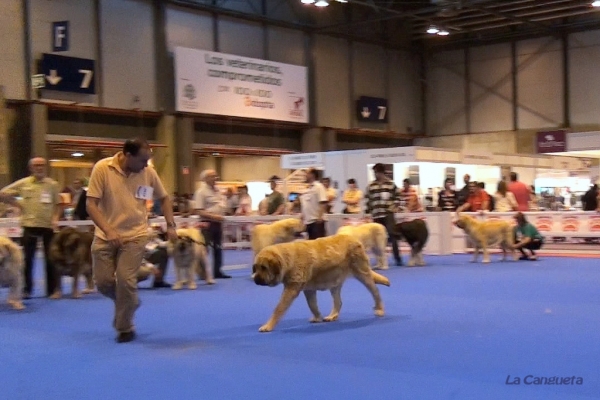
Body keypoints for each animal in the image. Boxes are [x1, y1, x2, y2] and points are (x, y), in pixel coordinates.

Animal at [252, 234, 390, 332]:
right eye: (256, 267)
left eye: (264, 268)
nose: (255, 279)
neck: (288, 260)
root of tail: (355, 240)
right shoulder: (308, 290)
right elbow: (312, 305)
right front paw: (317, 317)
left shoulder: (291, 289)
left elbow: (279, 308)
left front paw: (268, 325)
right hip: (335, 282)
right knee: (338, 302)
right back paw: (332, 315)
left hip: (363, 274)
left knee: (375, 291)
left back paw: (380, 309)